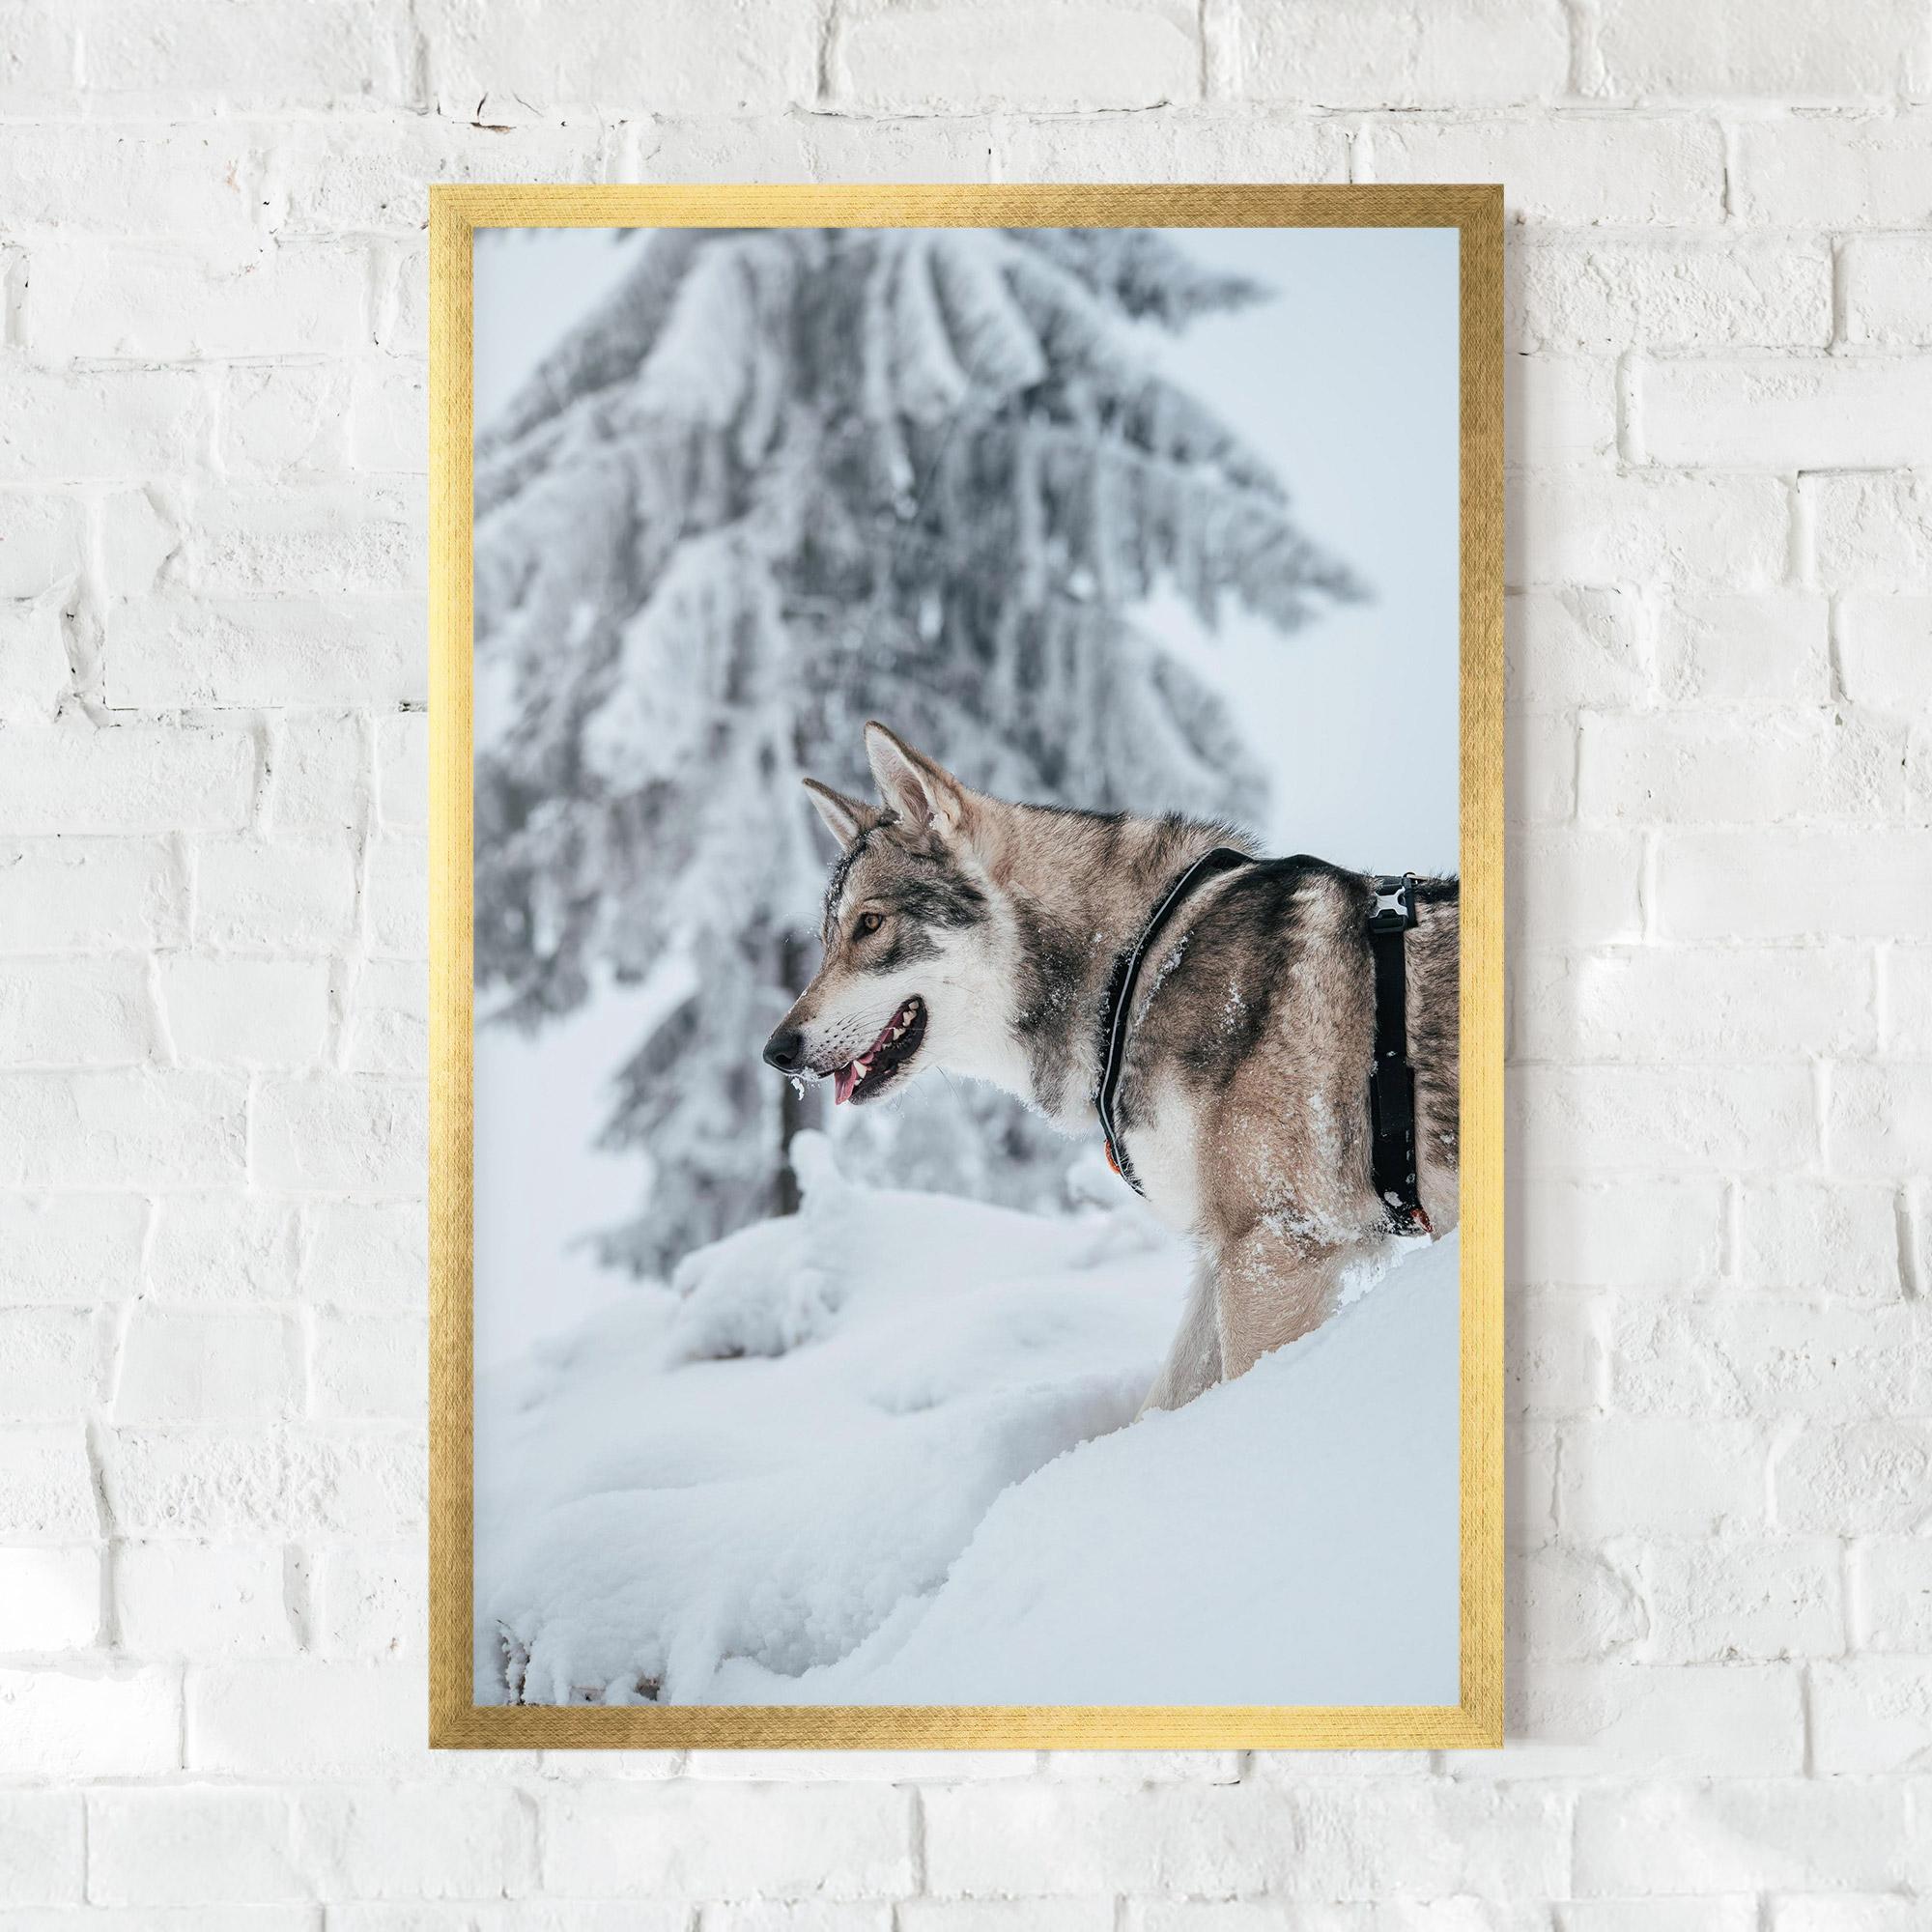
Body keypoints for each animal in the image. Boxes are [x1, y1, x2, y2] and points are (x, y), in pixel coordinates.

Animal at [763, 722, 1459, 1414]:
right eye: (826, 940)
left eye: (870, 924)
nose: (776, 1051)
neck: (1135, 966)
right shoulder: (1225, 1254)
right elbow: (1162, 1404)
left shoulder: (1275, 1248)